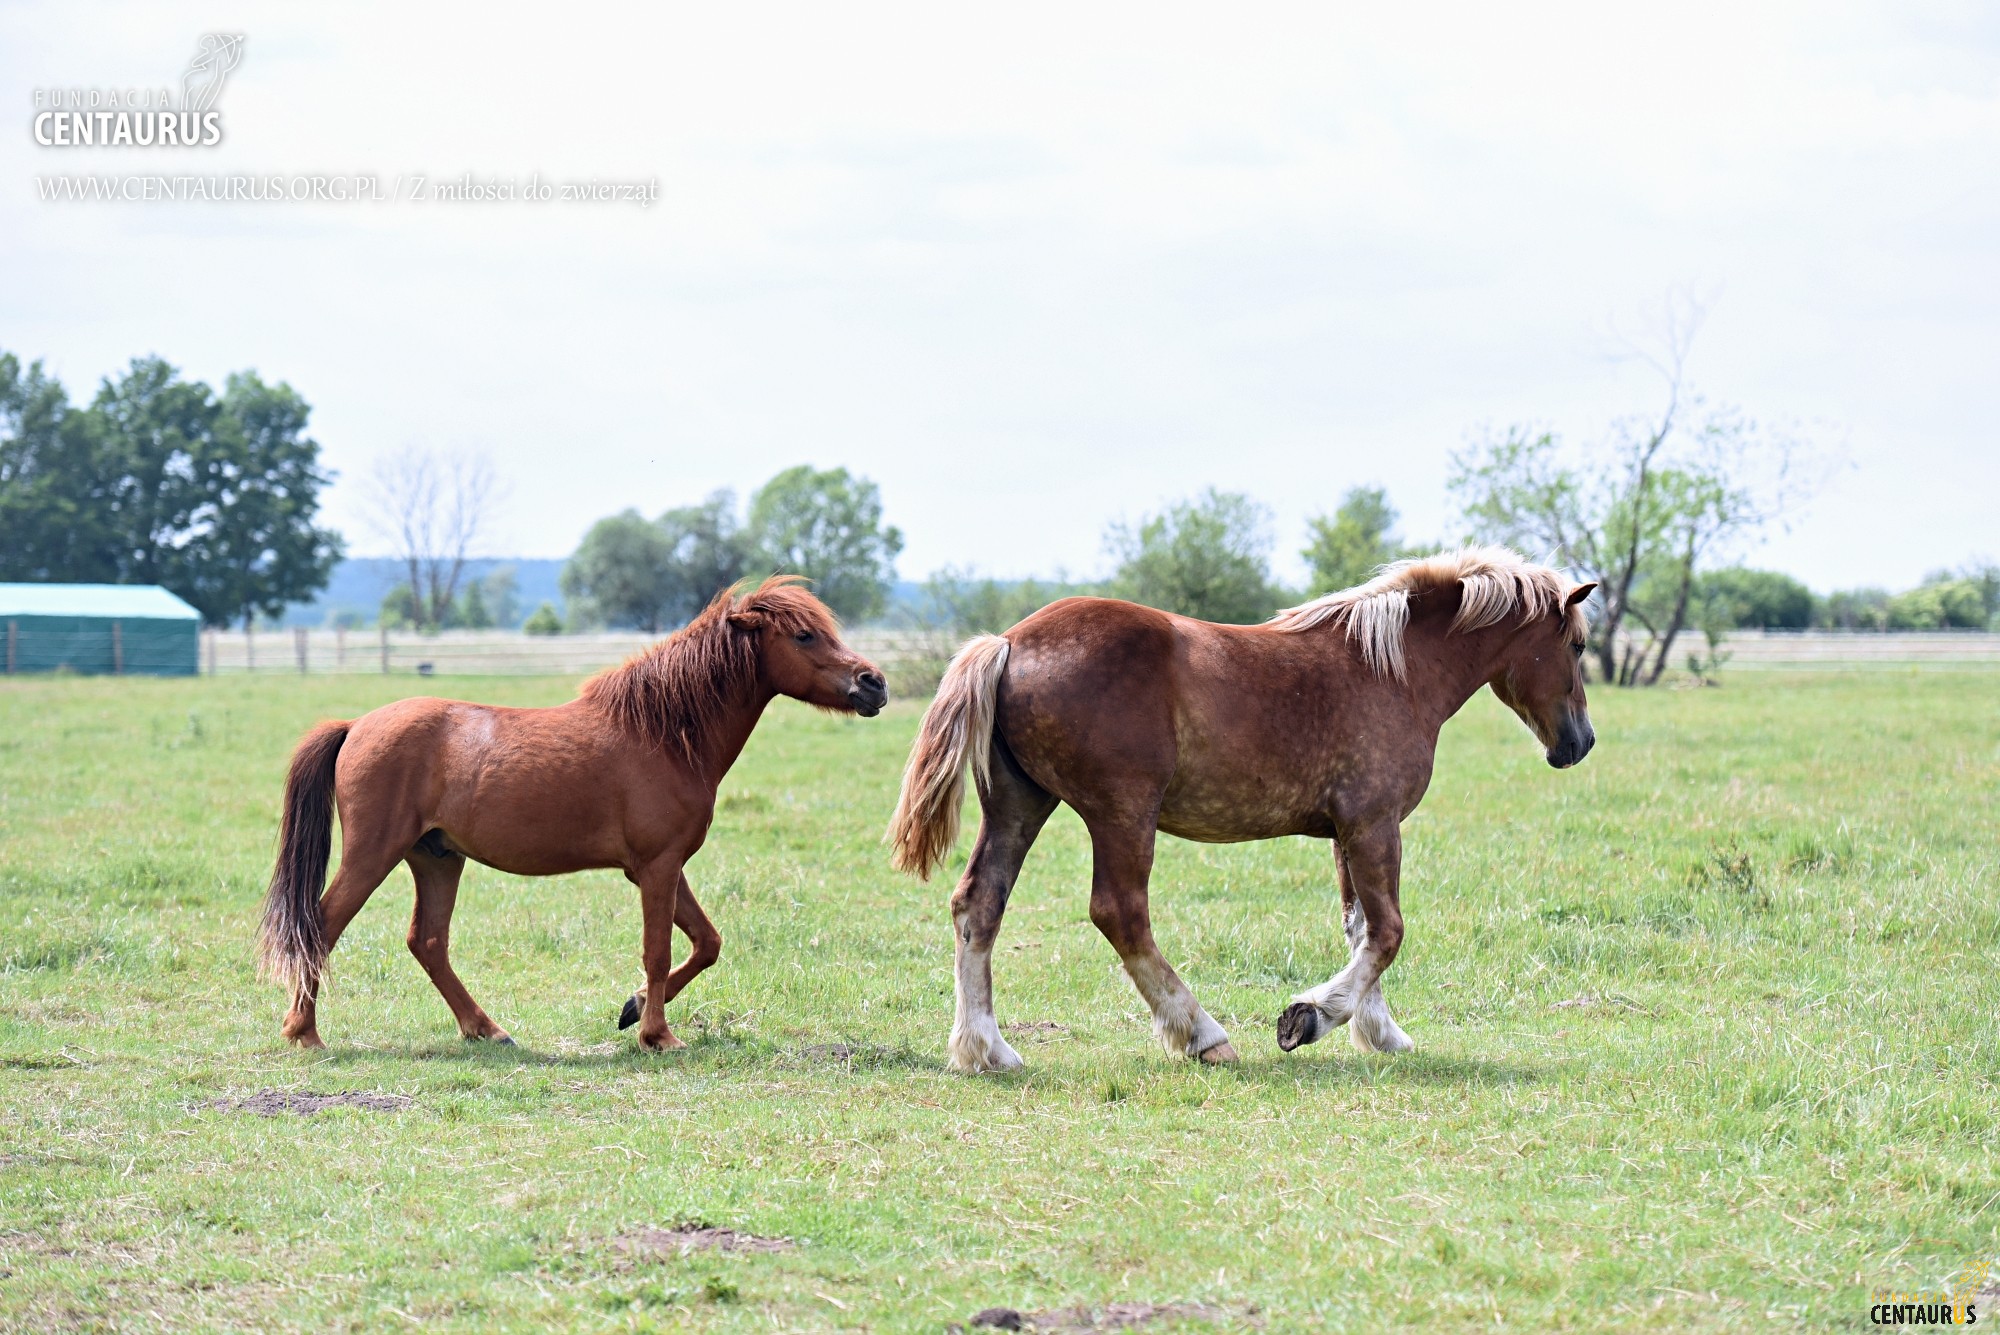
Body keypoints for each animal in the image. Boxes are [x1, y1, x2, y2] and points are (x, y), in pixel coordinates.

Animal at [258, 575, 884, 1055]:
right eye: (804, 635)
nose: (873, 682)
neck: (663, 734)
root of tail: (355, 726)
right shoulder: (656, 867)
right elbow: (658, 950)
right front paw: (658, 1036)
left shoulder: (661, 866)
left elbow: (707, 943)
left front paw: (634, 1008)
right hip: (375, 854)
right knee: (321, 926)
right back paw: (304, 1032)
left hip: (437, 859)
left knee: (427, 942)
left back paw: (486, 1029)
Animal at [892, 547, 1592, 1071]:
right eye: (1579, 647)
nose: (1579, 743)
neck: (1392, 669)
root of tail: (1009, 641)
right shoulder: (1375, 824)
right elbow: (1388, 931)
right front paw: (1310, 1018)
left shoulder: (1345, 832)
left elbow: (1361, 927)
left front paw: (1379, 1031)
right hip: (1123, 814)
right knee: (1120, 913)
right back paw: (1201, 1033)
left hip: (1019, 806)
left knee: (978, 906)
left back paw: (986, 1048)